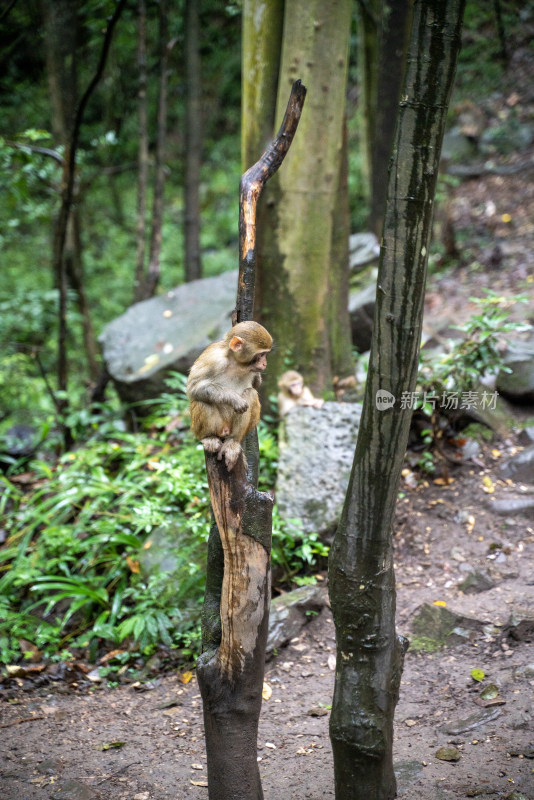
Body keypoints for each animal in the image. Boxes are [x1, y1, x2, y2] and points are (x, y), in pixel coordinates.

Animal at [187, 318, 272, 468]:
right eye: (261, 354)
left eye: (265, 354)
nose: (264, 364)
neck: (237, 363)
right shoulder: (213, 358)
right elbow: (193, 387)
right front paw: (233, 399)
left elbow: (254, 386)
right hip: (211, 427)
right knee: (202, 400)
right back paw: (209, 437)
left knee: (250, 394)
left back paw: (233, 442)